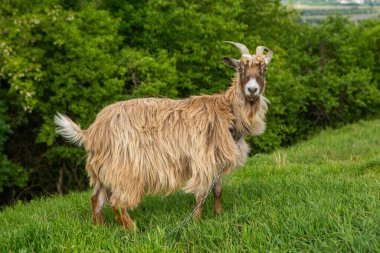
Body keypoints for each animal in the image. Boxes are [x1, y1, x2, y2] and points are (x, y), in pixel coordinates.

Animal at [54, 41, 274, 229]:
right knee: (116, 202)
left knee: (96, 199)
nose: (252, 90)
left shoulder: (216, 158)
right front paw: (197, 221)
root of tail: (91, 131)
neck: (226, 112)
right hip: (125, 169)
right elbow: (201, 194)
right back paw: (132, 229)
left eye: (264, 69)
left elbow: (218, 190)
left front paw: (218, 215)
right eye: (240, 68)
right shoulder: (202, 158)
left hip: (103, 170)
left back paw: (98, 227)